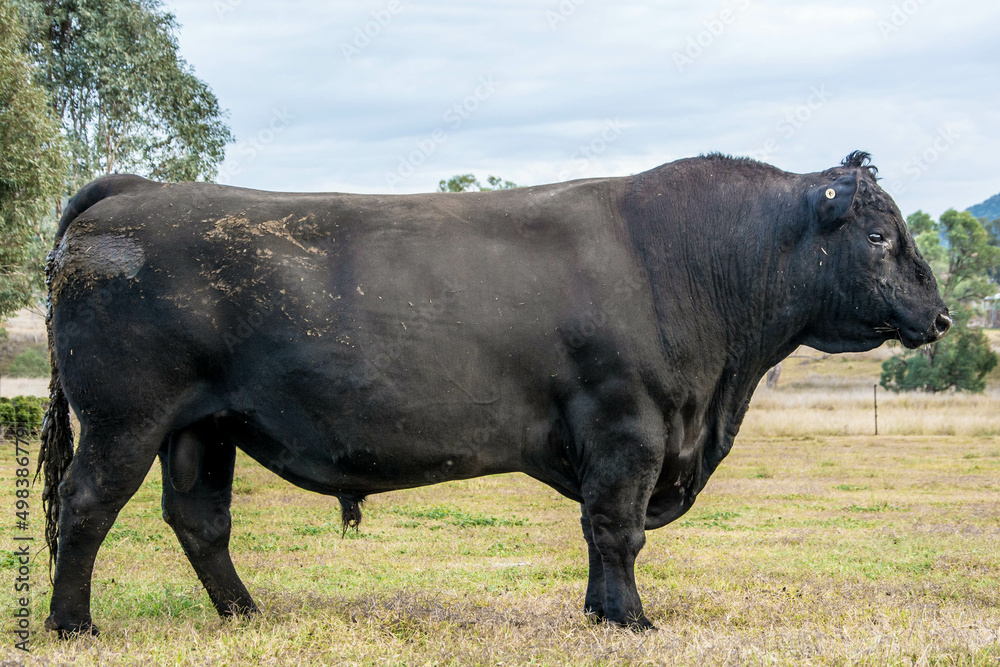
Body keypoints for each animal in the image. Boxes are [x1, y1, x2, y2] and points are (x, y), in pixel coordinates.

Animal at [39, 151, 950, 636]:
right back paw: (72, 623)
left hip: (203, 425)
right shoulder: (629, 426)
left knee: (200, 519)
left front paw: (600, 614)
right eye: (880, 235)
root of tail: (136, 190)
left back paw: (247, 614)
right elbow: (617, 529)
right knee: (84, 506)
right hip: (125, 417)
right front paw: (629, 619)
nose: (940, 314)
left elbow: (602, 534)